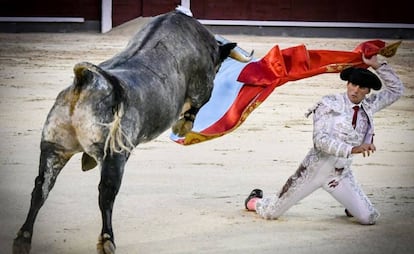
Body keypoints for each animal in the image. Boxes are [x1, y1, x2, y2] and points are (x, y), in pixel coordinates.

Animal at [12, 8, 251, 254]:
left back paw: (23, 238)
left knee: (41, 187)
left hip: (54, 146)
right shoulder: (202, 88)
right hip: (113, 155)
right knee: (106, 193)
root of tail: (85, 80)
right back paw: (106, 240)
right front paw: (182, 126)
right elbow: (196, 107)